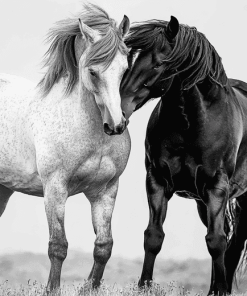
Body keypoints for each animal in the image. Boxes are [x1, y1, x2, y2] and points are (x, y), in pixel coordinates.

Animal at [0, 4, 130, 294]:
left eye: (125, 69)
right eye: (92, 71)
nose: (116, 125)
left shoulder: (105, 191)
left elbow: (104, 246)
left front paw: (89, 287)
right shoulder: (55, 189)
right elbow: (58, 246)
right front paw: (52, 289)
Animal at [120, 16, 247, 296]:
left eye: (159, 63)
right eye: (131, 59)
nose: (120, 109)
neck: (190, 124)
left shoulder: (216, 187)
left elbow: (217, 241)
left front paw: (220, 291)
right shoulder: (157, 181)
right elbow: (153, 237)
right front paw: (144, 287)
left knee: (233, 240)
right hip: (202, 202)